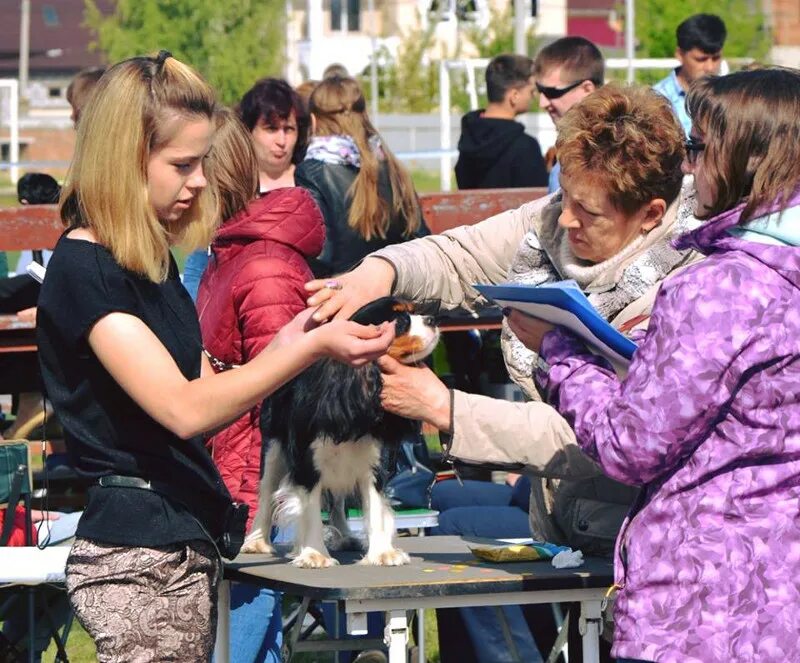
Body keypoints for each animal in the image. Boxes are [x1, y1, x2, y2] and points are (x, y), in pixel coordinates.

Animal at [244, 298, 440, 568]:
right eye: (400, 321)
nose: (432, 319)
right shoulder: (307, 463)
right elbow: (310, 508)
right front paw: (314, 554)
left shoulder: (374, 465)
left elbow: (375, 506)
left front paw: (382, 553)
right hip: (273, 448)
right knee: (266, 492)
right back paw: (257, 542)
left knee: (337, 502)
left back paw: (345, 537)